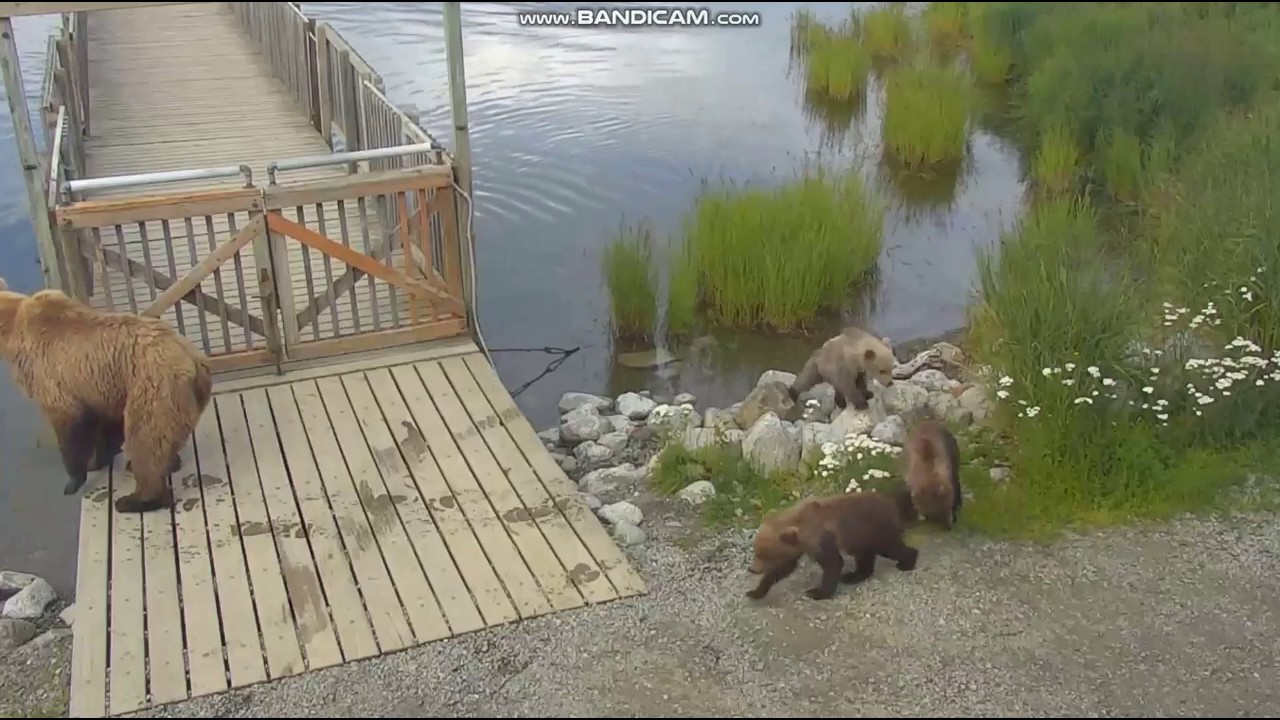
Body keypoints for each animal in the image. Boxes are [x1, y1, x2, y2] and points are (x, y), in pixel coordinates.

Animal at [0, 278, 212, 513]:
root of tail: (194, 361)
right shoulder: (101, 386)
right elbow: (104, 423)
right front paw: (99, 458)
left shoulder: (50, 376)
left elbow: (69, 424)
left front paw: (74, 479)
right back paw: (165, 464)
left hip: (154, 387)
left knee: (145, 439)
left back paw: (135, 499)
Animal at [745, 489, 919, 601]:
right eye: (756, 551)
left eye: (765, 554)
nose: (752, 569)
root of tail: (891, 503)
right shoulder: (797, 546)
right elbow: (782, 569)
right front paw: (755, 592)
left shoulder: (821, 538)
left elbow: (832, 564)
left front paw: (816, 592)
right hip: (859, 536)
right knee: (865, 555)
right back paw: (853, 576)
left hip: (876, 529)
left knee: (891, 548)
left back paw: (907, 562)